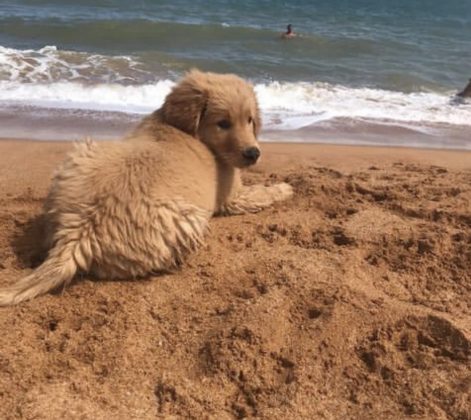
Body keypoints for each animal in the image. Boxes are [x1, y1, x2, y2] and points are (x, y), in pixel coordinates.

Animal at [0, 69, 294, 306]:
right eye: (223, 123)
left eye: (249, 119)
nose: (253, 154)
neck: (185, 128)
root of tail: (80, 232)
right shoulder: (233, 196)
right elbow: (263, 192)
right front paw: (286, 188)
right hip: (188, 220)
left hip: (78, 155)